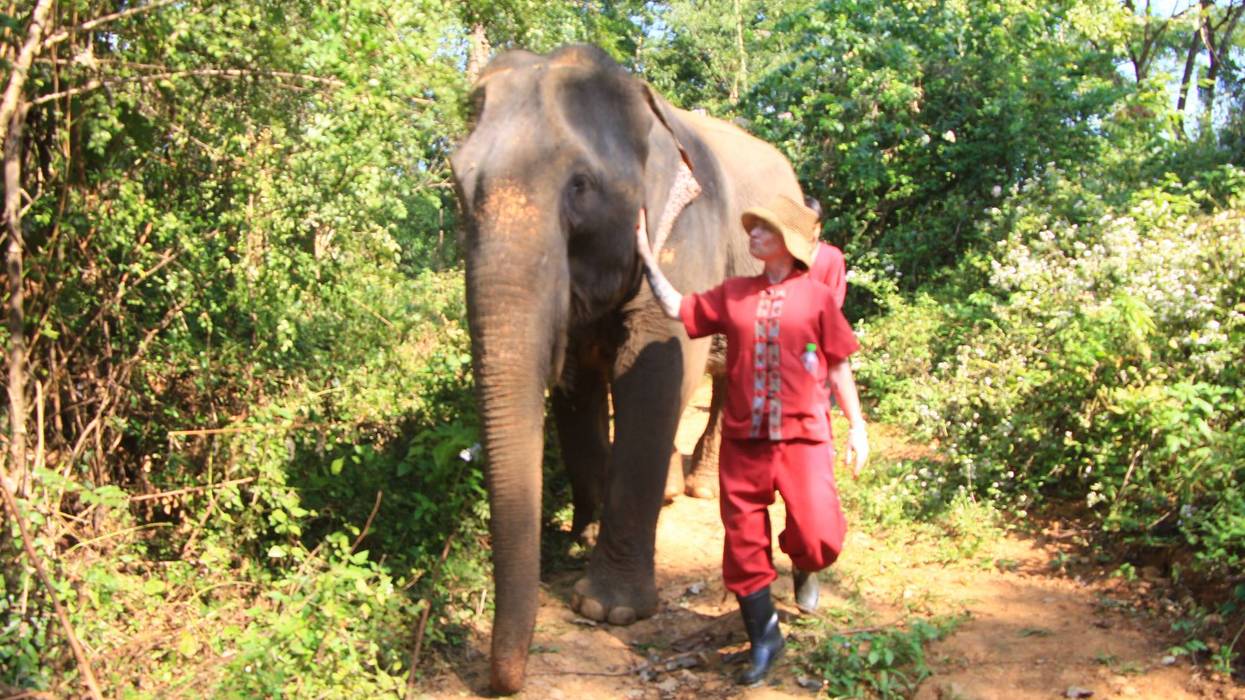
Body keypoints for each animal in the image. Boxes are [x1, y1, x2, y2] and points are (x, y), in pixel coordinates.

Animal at [449, 44, 803, 694]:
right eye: (460, 182)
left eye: (581, 185)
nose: (500, 680)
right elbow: (578, 385)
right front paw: (584, 537)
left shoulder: (685, 233)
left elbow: (657, 369)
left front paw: (606, 608)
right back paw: (670, 493)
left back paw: (700, 486)